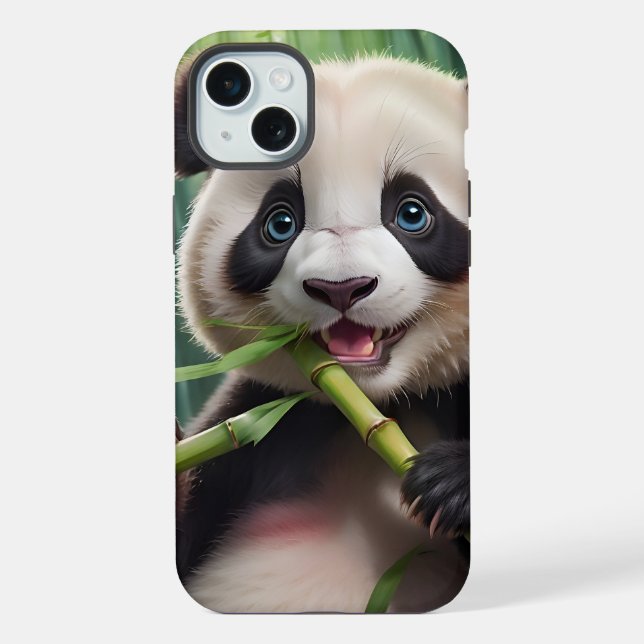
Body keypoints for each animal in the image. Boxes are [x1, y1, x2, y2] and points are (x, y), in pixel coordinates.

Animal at [175, 55, 470, 613]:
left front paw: (446, 483)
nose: (342, 288)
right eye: (280, 223)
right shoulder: (255, 427)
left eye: (412, 213)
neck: (373, 410)